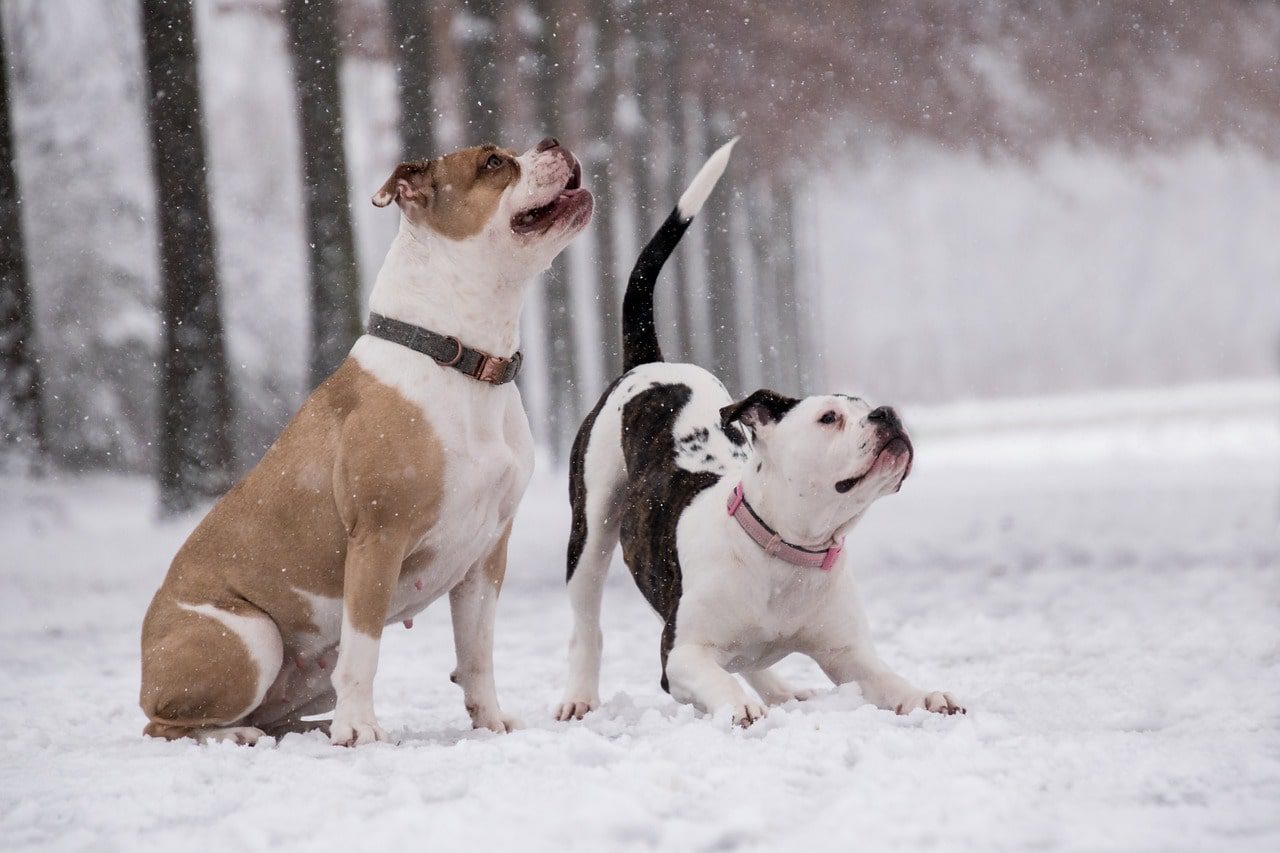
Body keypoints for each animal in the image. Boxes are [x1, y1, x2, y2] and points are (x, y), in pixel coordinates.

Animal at [141, 136, 593, 742]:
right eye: (493, 162)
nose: (552, 142)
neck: (462, 358)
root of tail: (146, 663)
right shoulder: (378, 537)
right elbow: (365, 649)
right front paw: (359, 730)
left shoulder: (486, 554)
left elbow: (477, 652)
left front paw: (490, 720)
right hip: (250, 638)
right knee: (166, 723)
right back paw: (240, 734)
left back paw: (306, 728)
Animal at [552, 140, 962, 722]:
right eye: (829, 417)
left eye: (868, 406)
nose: (889, 414)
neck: (789, 551)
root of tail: (650, 362)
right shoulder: (680, 655)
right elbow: (714, 676)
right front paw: (739, 708)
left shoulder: (849, 654)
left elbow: (888, 680)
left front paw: (925, 694)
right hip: (589, 531)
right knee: (587, 623)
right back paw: (581, 697)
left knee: (748, 658)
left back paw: (781, 689)